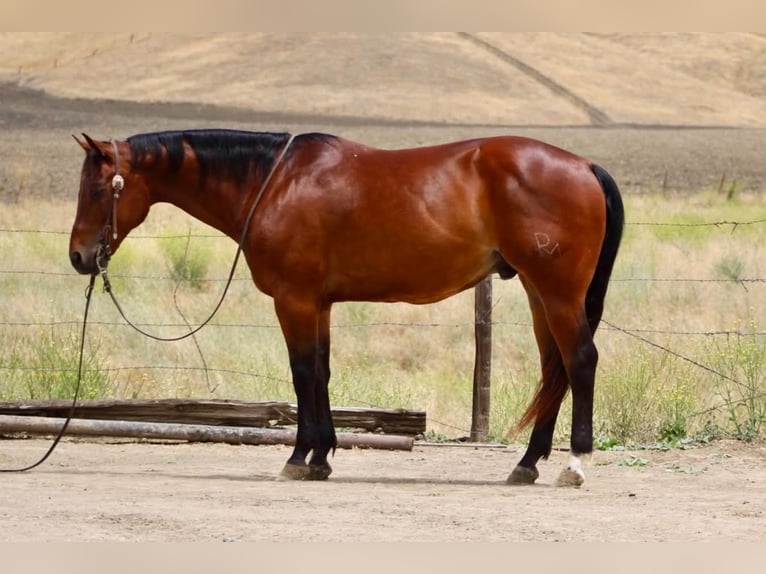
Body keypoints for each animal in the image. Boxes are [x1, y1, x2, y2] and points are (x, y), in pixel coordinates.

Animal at [69, 129, 624, 486]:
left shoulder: (293, 300)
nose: (79, 257)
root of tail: (584, 166)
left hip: (558, 293)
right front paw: (321, 457)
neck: (275, 182)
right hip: (538, 292)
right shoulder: (319, 304)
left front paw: (298, 457)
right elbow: (321, 371)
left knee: (580, 363)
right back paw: (527, 464)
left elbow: (301, 374)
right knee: (553, 369)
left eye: (96, 189)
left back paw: (574, 464)